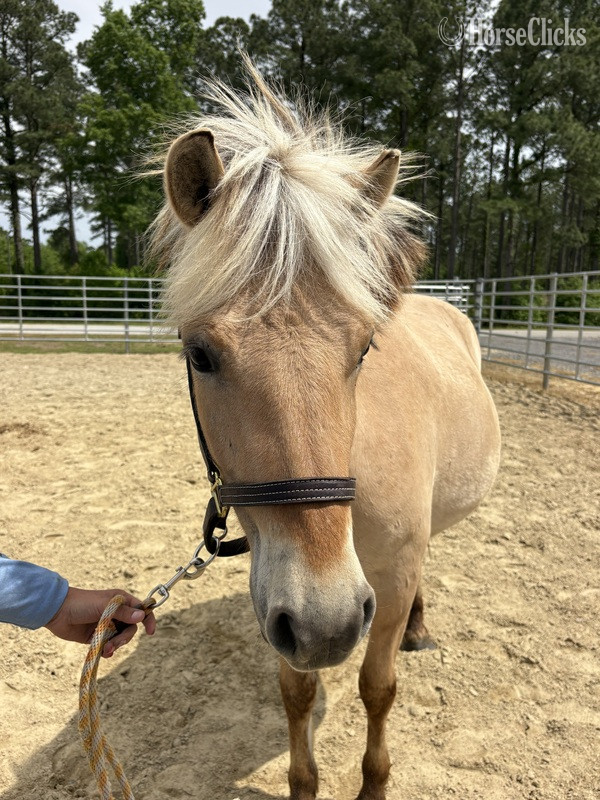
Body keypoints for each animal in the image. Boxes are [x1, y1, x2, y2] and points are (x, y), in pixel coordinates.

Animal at [149, 61, 501, 800]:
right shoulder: (282, 596)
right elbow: (297, 695)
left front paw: (373, 783)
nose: (329, 622)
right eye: (200, 354)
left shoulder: (385, 581)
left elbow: (377, 686)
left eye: (364, 349)